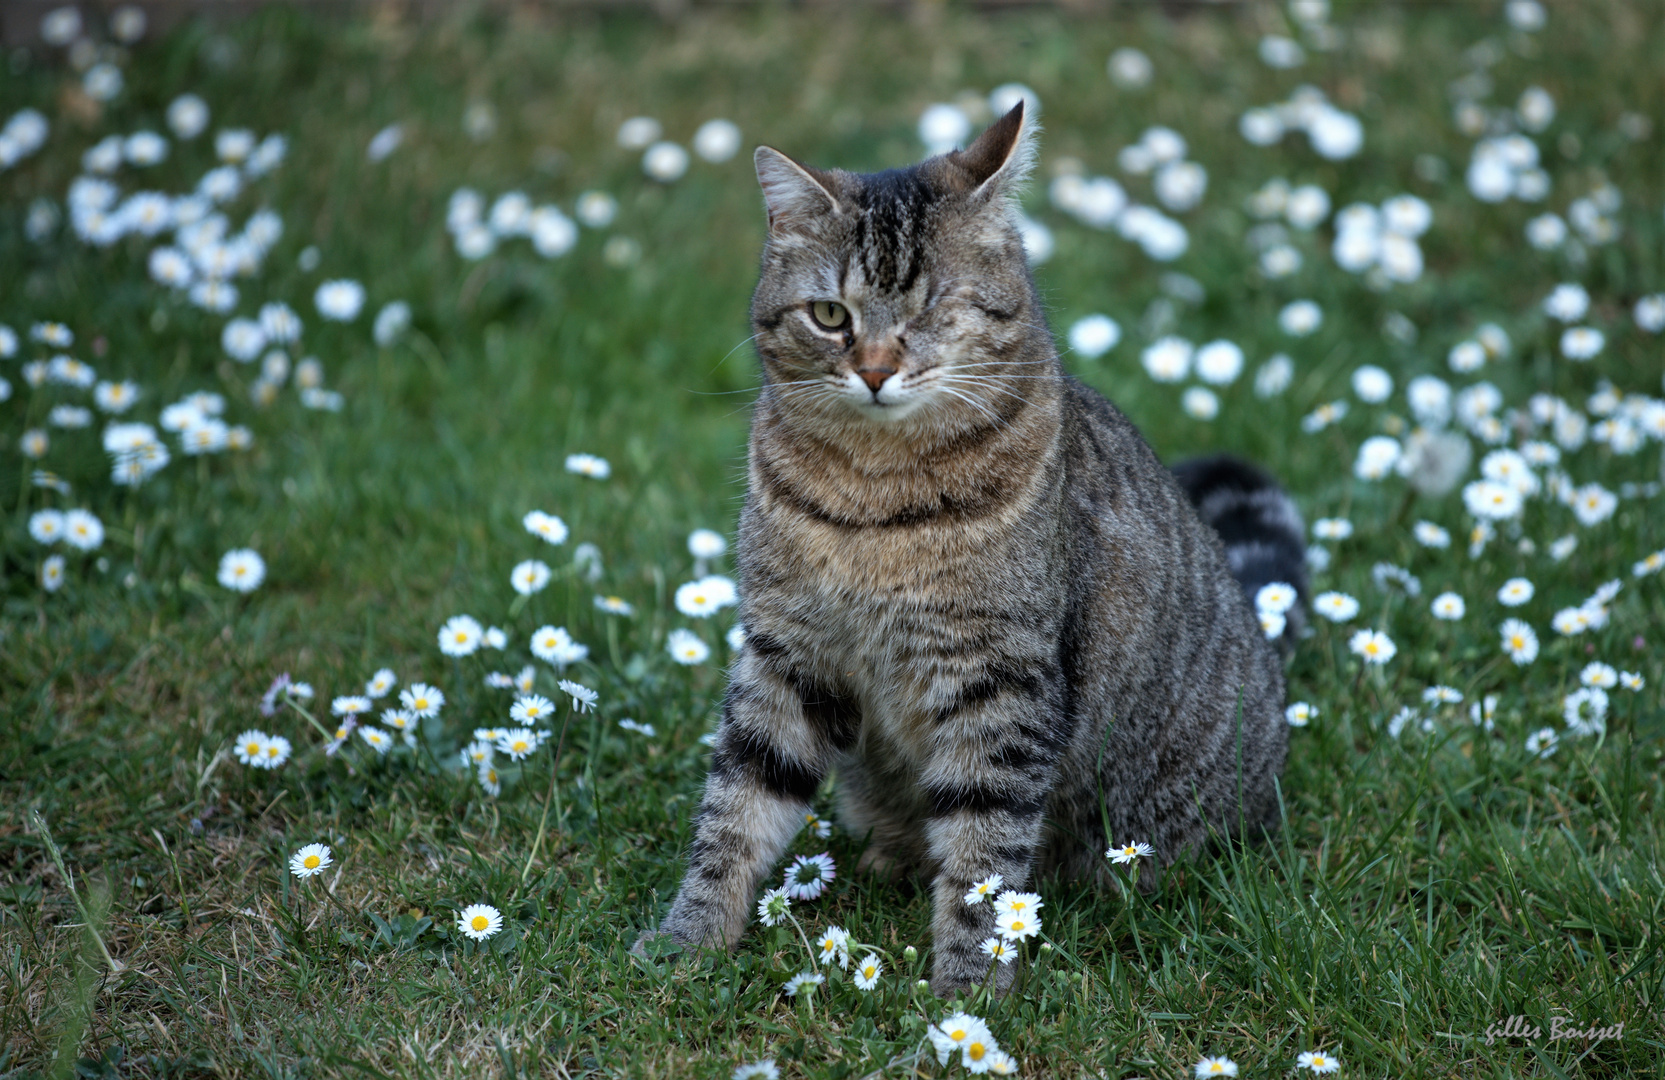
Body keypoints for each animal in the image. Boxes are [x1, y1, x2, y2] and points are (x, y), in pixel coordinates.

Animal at [632, 105, 1298, 991]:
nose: (875, 369)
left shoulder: (999, 678)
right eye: (830, 315)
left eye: (933, 309)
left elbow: (985, 852)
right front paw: (690, 939)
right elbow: (736, 808)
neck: (873, 495)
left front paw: (969, 988)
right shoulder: (787, 653)